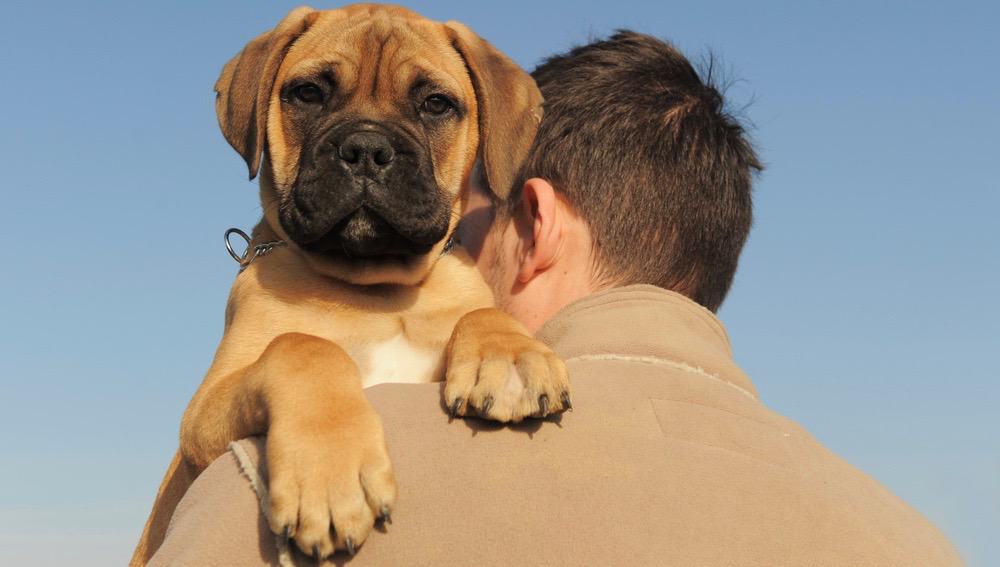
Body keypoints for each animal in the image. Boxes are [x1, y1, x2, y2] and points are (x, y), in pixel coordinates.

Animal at [131, 4, 572, 567]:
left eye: (435, 104)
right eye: (308, 93)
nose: (365, 148)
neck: (376, 290)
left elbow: (482, 311)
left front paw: (511, 356)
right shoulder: (203, 413)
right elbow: (302, 347)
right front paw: (328, 478)